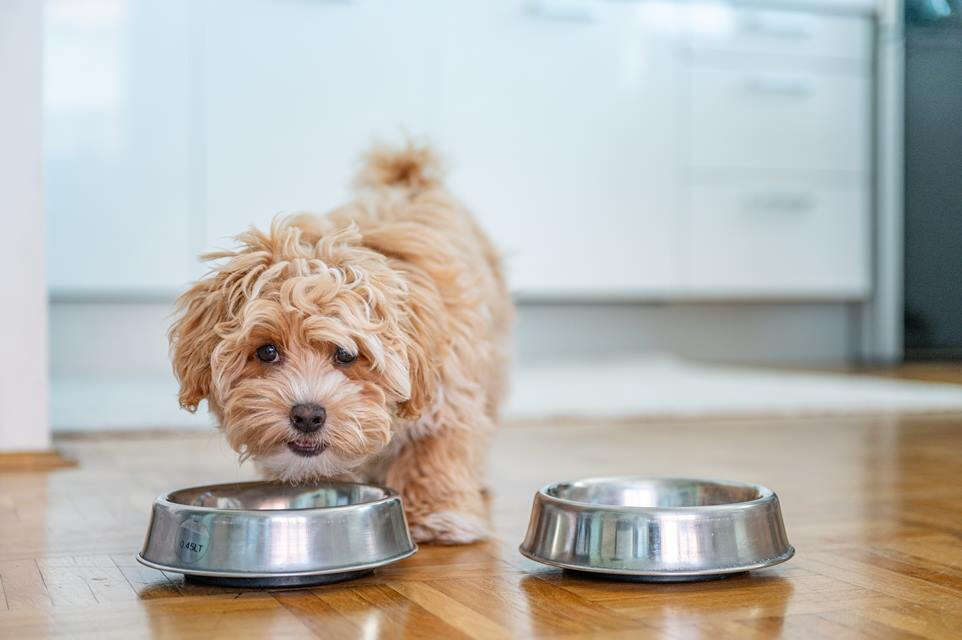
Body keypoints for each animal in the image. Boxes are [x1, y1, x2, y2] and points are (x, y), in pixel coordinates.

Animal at [167, 142, 510, 544]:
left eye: (346, 355)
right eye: (267, 351)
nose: (307, 416)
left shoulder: (448, 392)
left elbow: (434, 449)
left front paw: (436, 514)